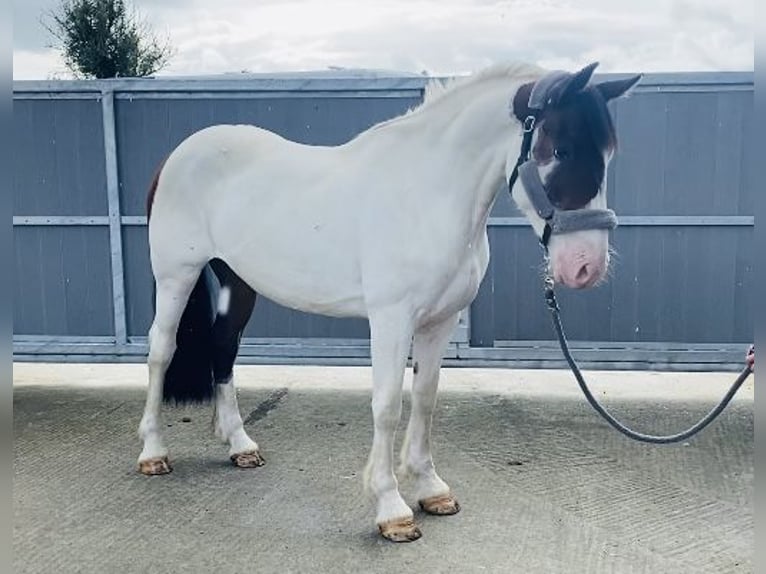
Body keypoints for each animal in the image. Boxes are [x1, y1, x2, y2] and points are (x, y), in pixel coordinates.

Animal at [138, 63, 640, 544]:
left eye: (609, 155)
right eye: (562, 150)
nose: (586, 266)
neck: (426, 197)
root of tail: (177, 157)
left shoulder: (440, 322)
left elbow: (425, 399)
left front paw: (431, 488)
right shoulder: (391, 320)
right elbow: (387, 406)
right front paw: (392, 510)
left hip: (237, 281)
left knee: (223, 348)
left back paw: (240, 445)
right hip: (176, 276)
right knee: (161, 350)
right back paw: (153, 452)